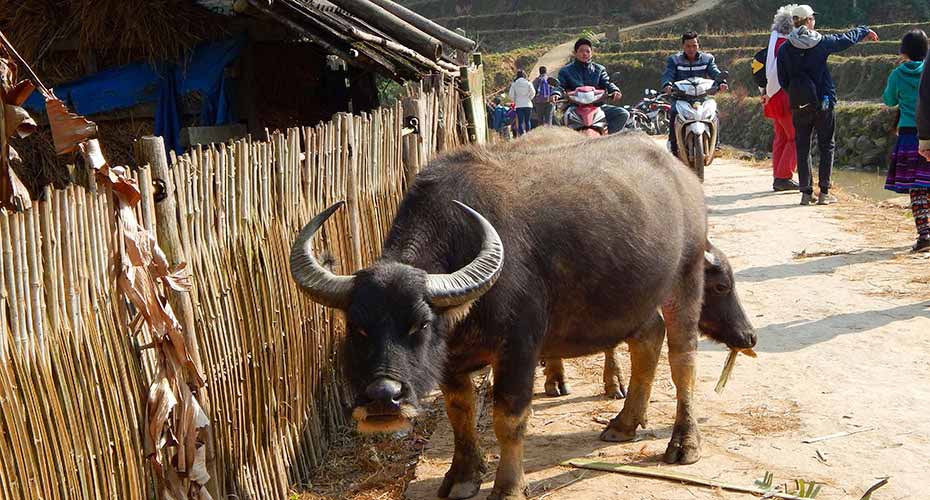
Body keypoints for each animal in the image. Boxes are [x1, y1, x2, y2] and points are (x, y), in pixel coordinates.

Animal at [288, 128, 752, 500]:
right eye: (358, 329)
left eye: (420, 324)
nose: (384, 397)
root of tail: (684, 178)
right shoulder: (452, 361)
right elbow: (459, 412)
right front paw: (462, 477)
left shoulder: (520, 348)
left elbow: (509, 417)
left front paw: (509, 486)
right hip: (634, 297)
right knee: (647, 338)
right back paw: (624, 423)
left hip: (685, 279)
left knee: (682, 359)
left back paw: (683, 444)